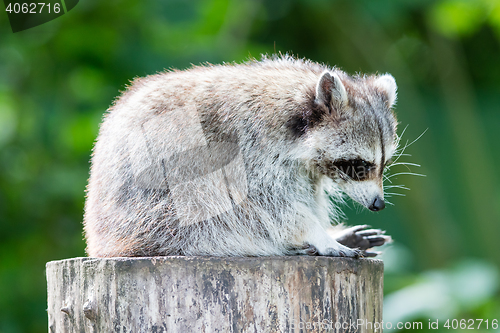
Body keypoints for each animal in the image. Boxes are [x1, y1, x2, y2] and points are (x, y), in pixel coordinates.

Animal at [84, 55, 396, 256]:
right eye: (357, 164)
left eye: (384, 163)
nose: (378, 204)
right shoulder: (246, 146)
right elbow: (265, 203)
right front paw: (316, 234)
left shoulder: (303, 168)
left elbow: (305, 193)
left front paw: (324, 229)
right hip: (155, 214)